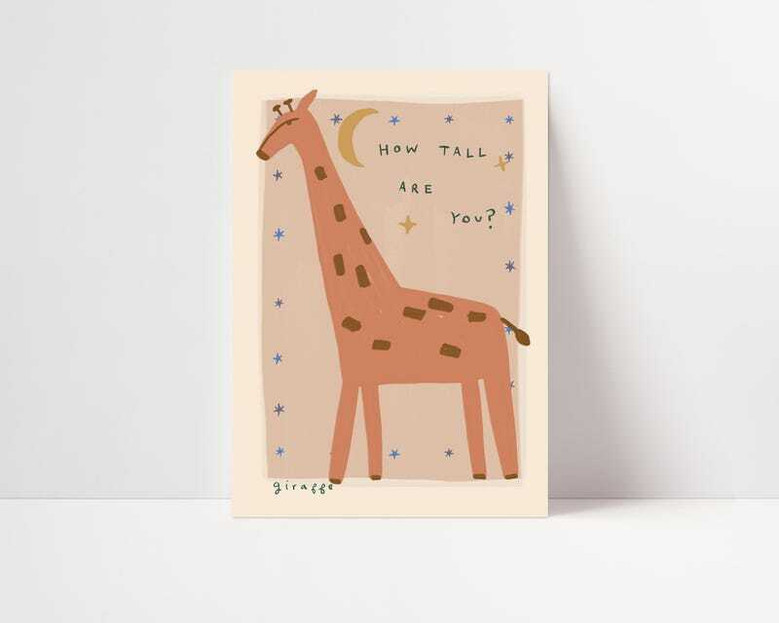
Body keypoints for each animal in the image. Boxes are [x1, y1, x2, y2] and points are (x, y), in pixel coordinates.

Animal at [257, 90, 531, 484]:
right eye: (276, 120)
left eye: (289, 122)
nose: (260, 153)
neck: (371, 294)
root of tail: (503, 319)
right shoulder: (366, 377)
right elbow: (372, 429)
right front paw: (373, 478)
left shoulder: (352, 374)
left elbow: (341, 437)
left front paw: (335, 481)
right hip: (471, 375)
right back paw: (479, 476)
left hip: (495, 370)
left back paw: (507, 477)